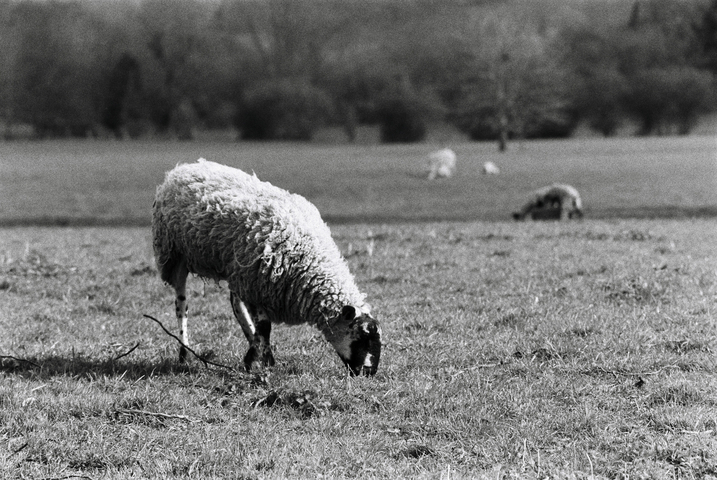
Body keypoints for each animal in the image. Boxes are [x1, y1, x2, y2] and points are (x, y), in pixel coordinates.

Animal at [151, 158, 381, 376]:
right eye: (361, 336)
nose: (369, 373)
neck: (309, 257)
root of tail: (183, 168)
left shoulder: (255, 283)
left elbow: (260, 326)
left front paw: (259, 356)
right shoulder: (259, 283)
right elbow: (265, 326)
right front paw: (259, 359)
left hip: (235, 267)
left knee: (236, 303)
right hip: (173, 255)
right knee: (181, 305)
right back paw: (184, 353)